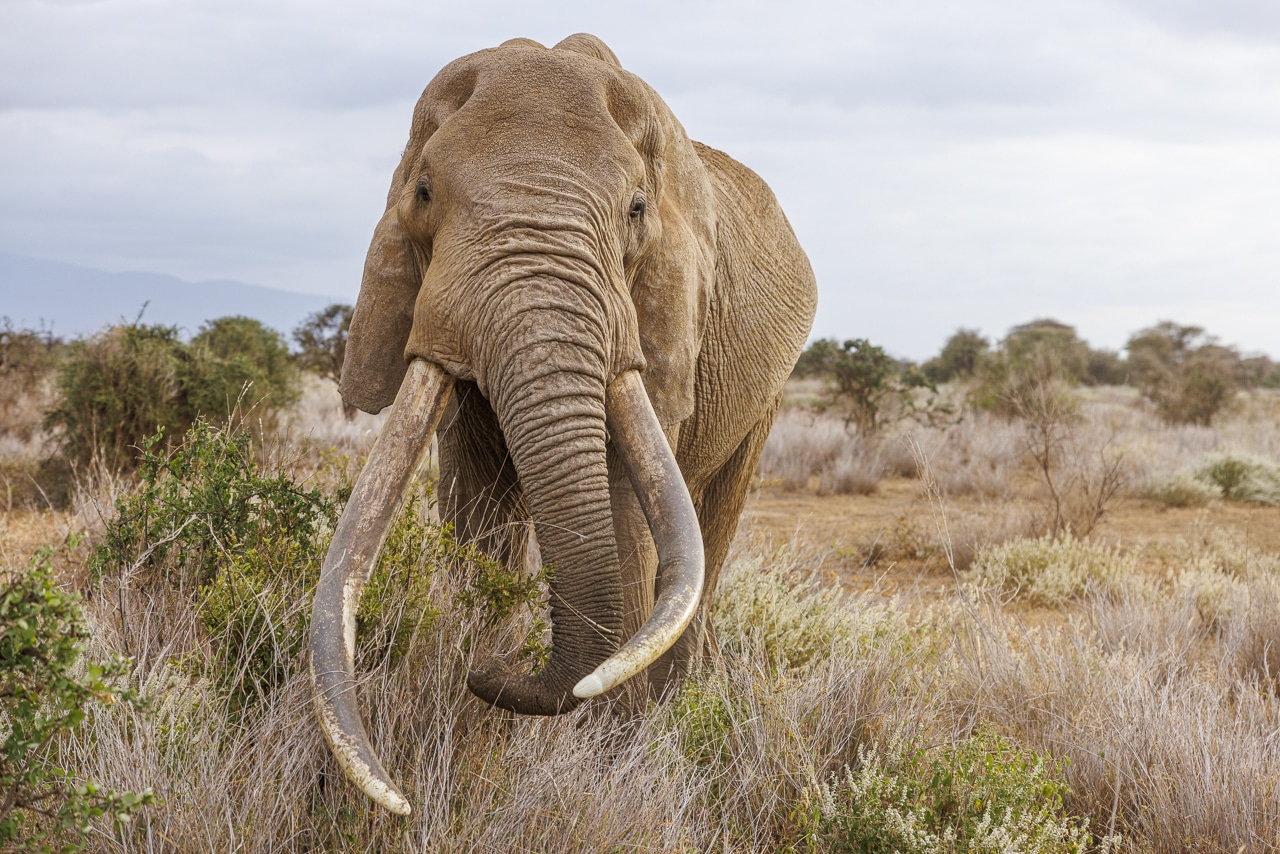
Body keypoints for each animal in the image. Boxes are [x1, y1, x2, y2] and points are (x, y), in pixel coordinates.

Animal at [304, 35, 814, 814]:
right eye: (422, 193)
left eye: (636, 209)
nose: (492, 673)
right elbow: (476, 509)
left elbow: (625, 513)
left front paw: (611, 769)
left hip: (764, 398)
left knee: (715, 520)